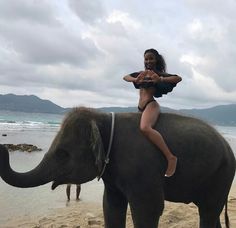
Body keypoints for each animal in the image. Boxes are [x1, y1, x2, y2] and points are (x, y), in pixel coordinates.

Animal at [0, 107, 235, 228]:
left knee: (207, 212)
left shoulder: (142, 169)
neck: (101, 117)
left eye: (62, 154)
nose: (3, 148)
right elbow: (111, 206)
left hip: (223, 174)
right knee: (211, 214)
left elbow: (148, 208)